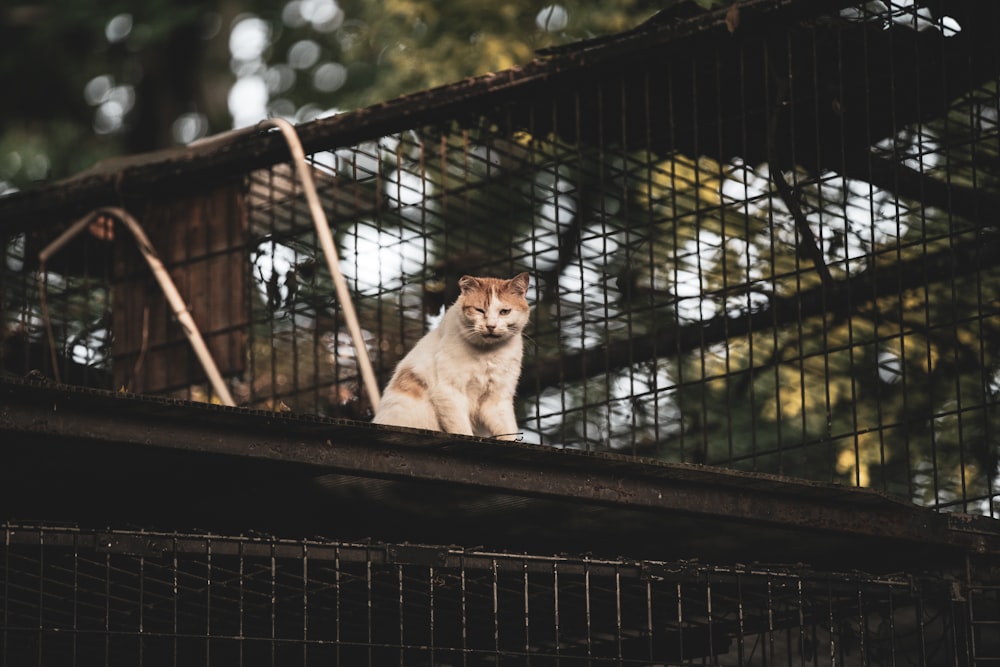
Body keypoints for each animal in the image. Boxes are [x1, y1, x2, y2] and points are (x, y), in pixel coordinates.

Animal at [372, 274, 532, 440]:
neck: (488, 353)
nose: (491, 326)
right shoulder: (450, 392)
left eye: (504, 311)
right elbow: (462, 430)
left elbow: (509, 430)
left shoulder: (498, 399)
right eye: (479, 310)